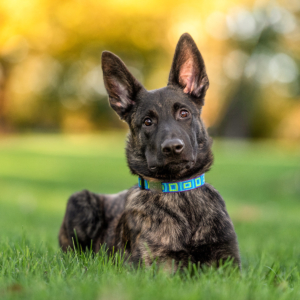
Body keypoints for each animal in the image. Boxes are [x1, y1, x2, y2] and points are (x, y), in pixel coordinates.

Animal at [59, 32, 241, 270]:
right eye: (148, 122)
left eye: (184, 113)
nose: (173, 147)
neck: (178, 192)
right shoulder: (158, 266)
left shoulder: (229, 264)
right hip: (80, 201)